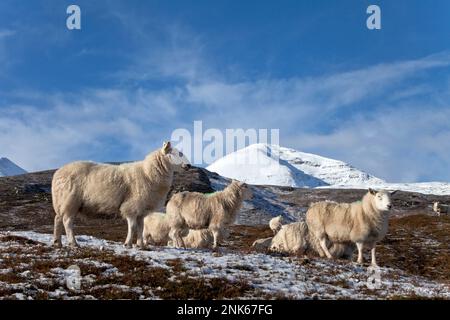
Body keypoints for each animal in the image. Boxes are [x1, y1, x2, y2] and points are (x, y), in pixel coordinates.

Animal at [51, 141, 191, 249]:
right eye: (178, 153)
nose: (189, 165)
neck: (148, 173)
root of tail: (58, 173)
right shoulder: (132, 206)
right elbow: (132, 226)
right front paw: (128, 243)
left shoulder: (141, 210)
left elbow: (140, 228)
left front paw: (140, 245)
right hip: (70, 201)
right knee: (67, 222)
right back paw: (73, 243)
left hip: (61, 202)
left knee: (58, 219)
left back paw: (57, 242)